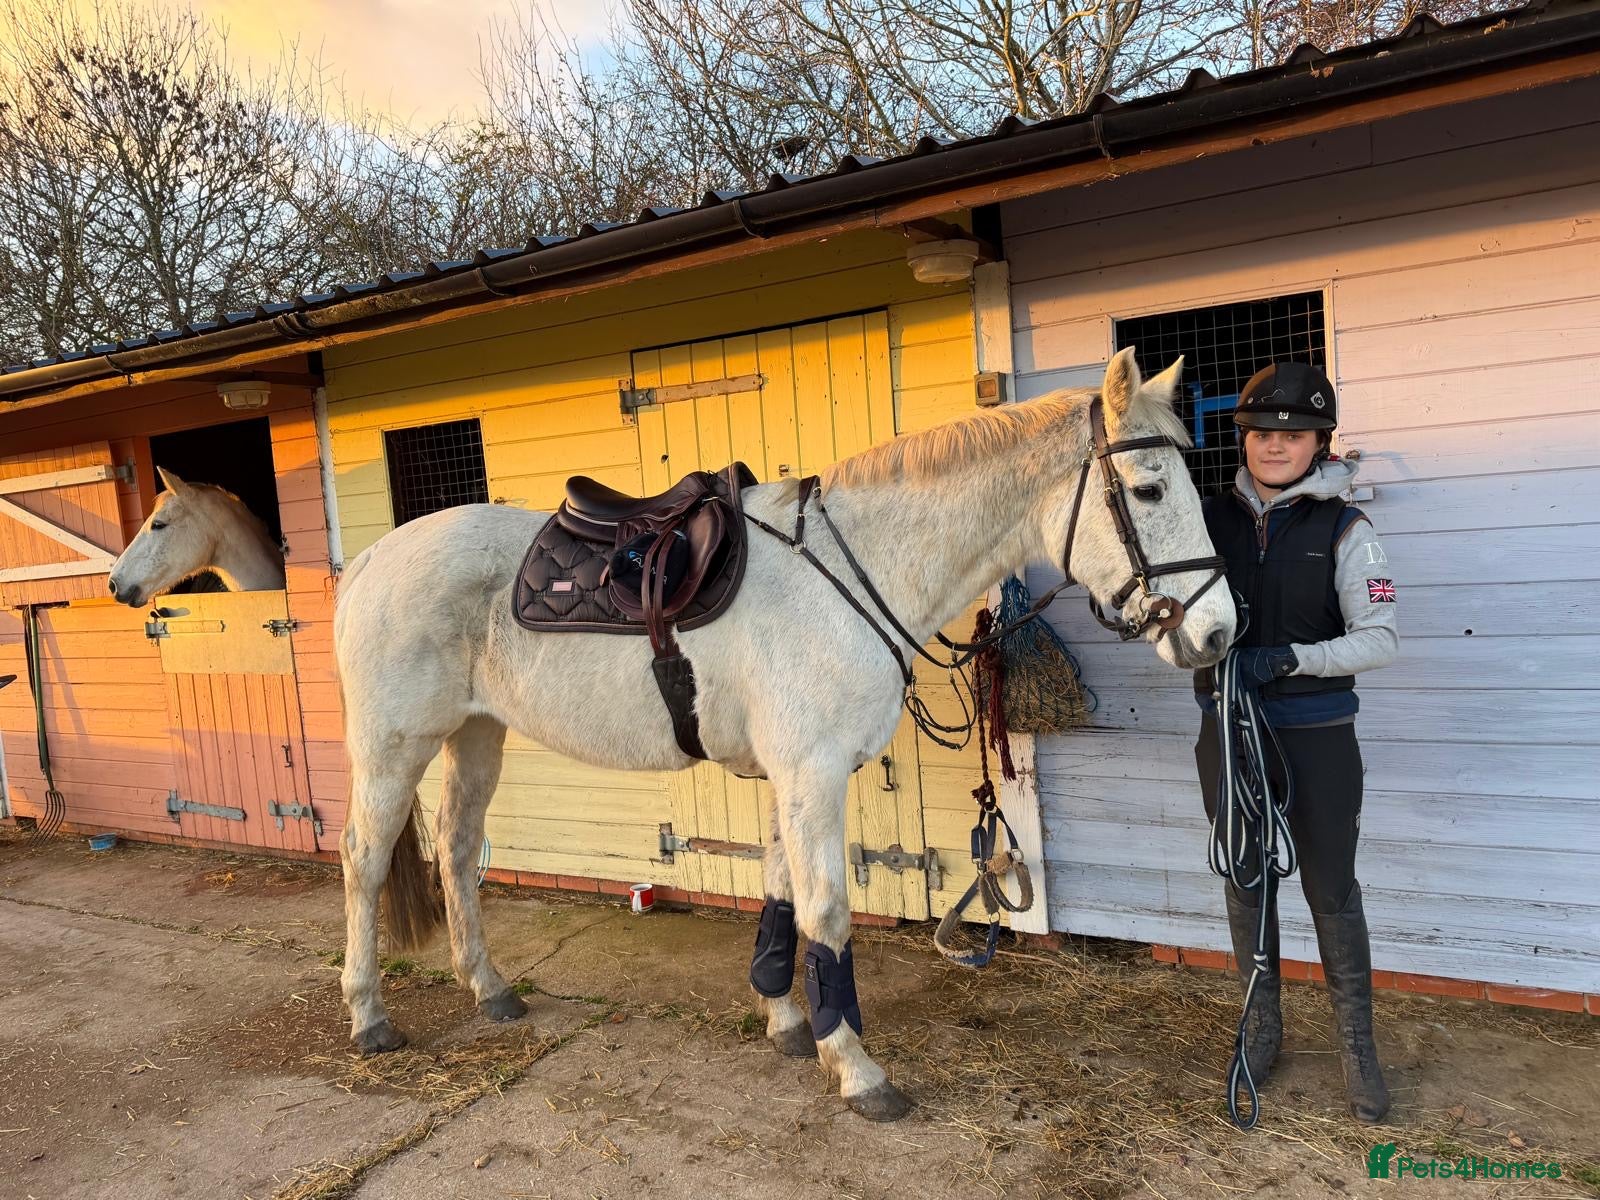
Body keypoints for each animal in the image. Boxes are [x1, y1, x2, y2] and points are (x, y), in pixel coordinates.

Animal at [331, 348, 1236, 1120]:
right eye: (1150, 490)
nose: (1220, 632)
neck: (851, 572)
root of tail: (372, 561)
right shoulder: (812, 772)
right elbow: (827, 911)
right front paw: (857, 1067)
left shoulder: (787, 775)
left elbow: (778, 896)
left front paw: (786, 1018)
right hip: (393, 747)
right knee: (363, 859)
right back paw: (369, 1017)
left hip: (476, 734)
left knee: (456, 849)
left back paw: (488, 989)